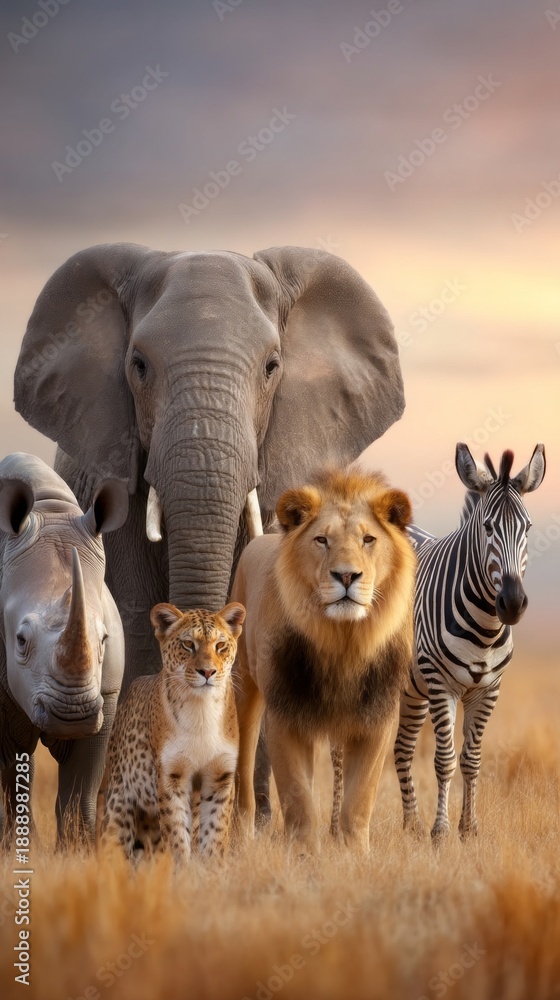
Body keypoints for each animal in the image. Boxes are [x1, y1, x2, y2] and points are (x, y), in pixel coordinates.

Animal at [0, 453, 128, 844]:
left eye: (103, 641)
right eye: (20, 641)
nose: (72, 714)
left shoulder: (106, 692)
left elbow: (80, 786)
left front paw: (78, 848)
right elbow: (11, 769)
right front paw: (19, 848)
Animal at [231, 467, 416, 853]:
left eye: (368, 539)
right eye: (321, 540)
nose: (346, 575)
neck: (342, 640)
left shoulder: (376, 718)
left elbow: (359, 799)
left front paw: (355, 853)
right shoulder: (286, 714)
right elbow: (298, 795)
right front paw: (303, 853)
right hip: (245, 688)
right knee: (242, 769)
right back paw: (242, 837)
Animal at [393, 442, 546, 840]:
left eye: (527, 527)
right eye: (488, 527)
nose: (512, 603)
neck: (486, 628)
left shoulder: (489, 688)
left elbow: (472, 759)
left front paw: (469, 829)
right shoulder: (440, 683)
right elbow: (445, 759)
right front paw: (440, 832)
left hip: (411, 689)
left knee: (402, 749)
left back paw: (410, 826)